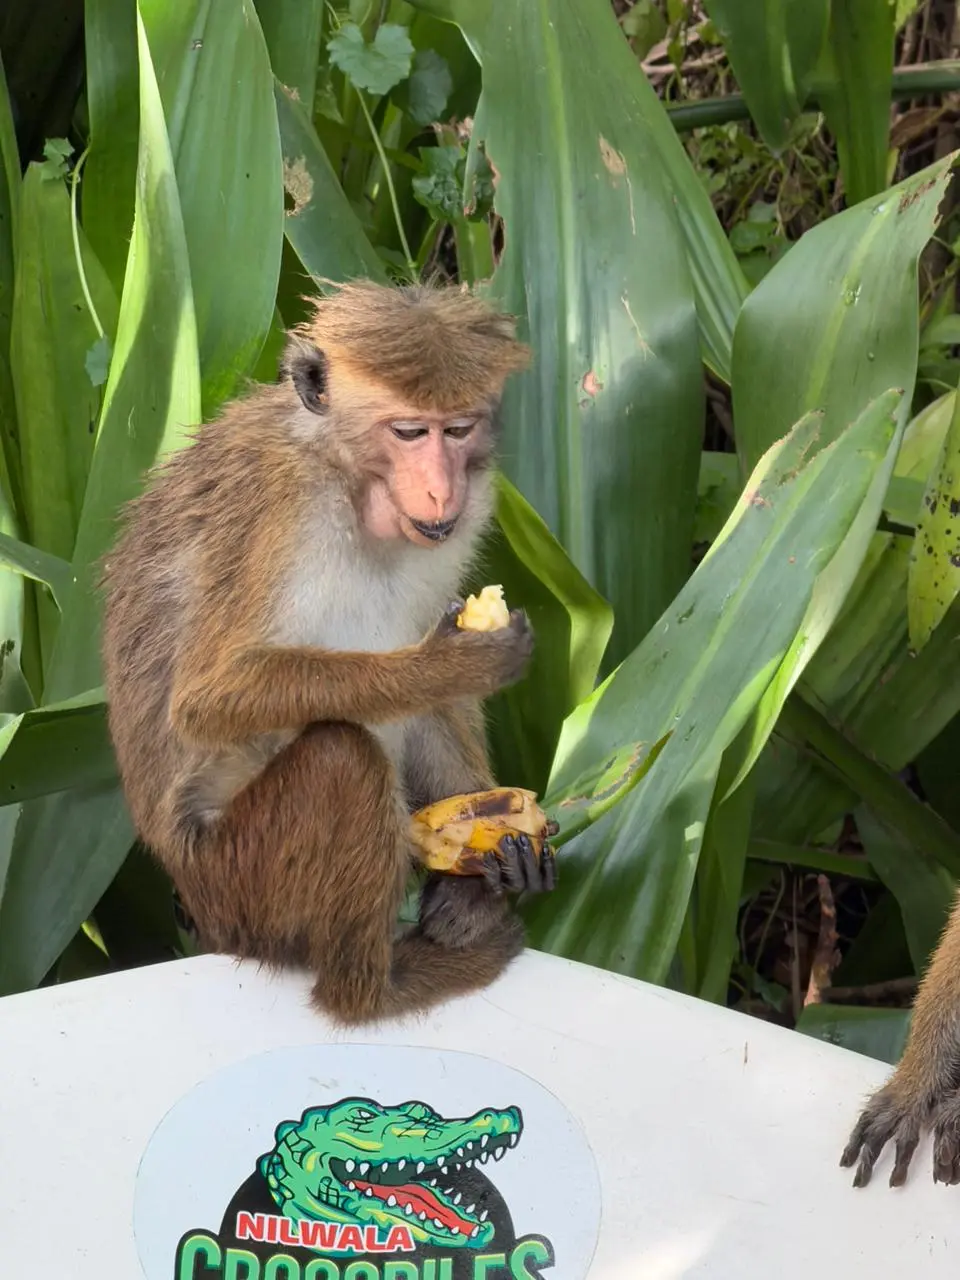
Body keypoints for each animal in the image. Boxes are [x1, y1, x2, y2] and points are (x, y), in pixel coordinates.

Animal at [100, 279, 557, 1027]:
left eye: (457, 430)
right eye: (409, 432)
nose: (442, 487)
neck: (346, 480)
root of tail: (195, 901)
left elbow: (432, 692)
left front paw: (492, 860)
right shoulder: (276, 503)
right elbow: (207, 698)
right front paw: (451, 664)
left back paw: (469, 900)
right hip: (238, 881)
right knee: (342, 759)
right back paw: (373, 990)